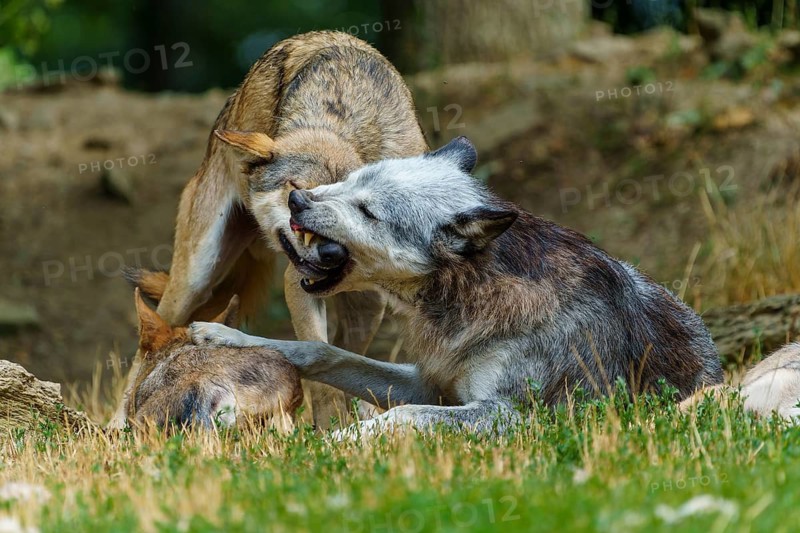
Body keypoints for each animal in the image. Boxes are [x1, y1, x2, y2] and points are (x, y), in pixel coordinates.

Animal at [190, 136, 724, 435]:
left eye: (368, 211)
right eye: (348, 181)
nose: (298, 199)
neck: (473, 294)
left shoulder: (510, 416)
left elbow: (400, 417)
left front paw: (330, 445)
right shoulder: (429, 381)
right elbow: (321, 352)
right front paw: (226, 337)